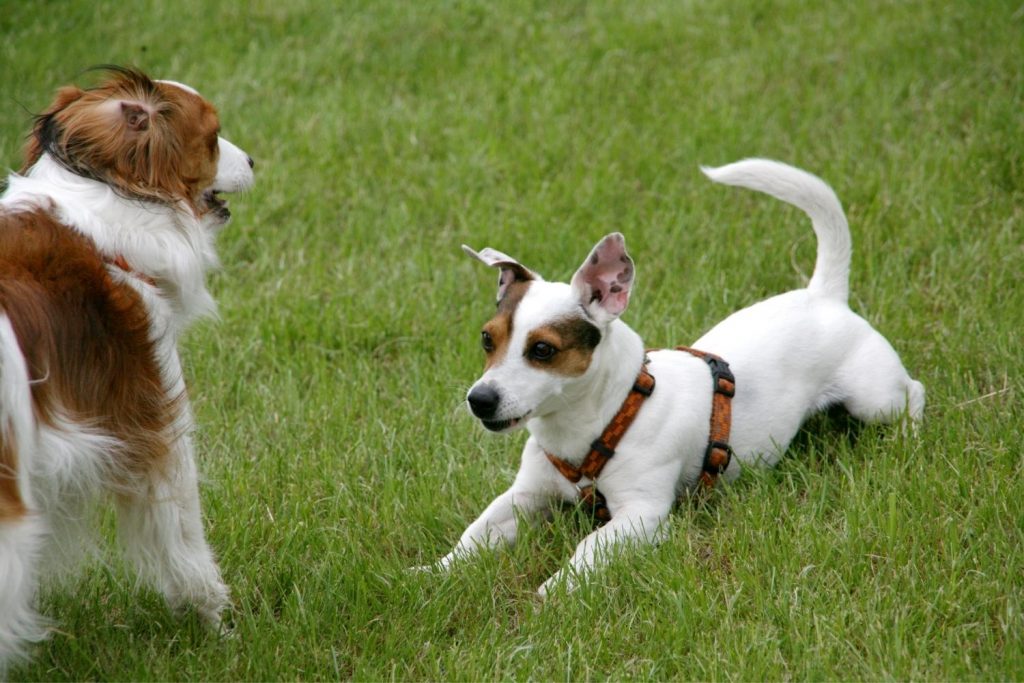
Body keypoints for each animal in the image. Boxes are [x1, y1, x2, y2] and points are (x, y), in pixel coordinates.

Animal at [428, 157, 925, 593]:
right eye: (487, 340)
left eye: (543, 350)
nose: (479, 399)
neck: (603, 419)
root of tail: (824, 294)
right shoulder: (523, 498)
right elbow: (474, 535)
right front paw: (432, 574)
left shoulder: (640, 516)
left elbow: (588, 549)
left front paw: (552, 592)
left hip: (874, 398)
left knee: (913, 393)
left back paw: (909, 437)